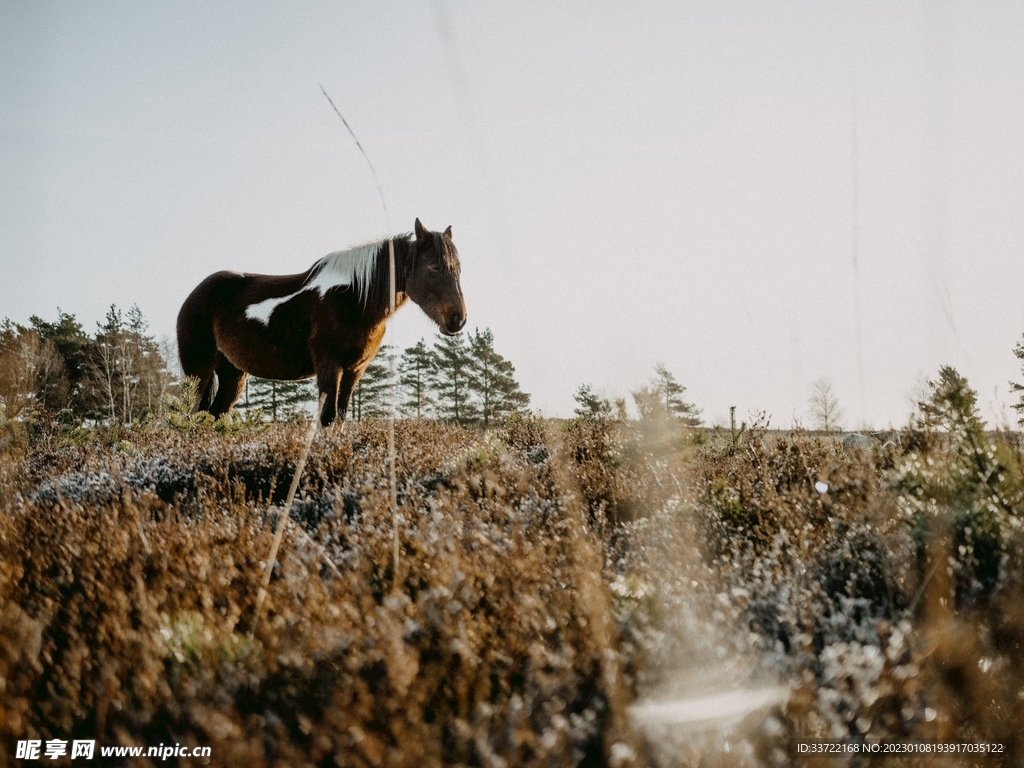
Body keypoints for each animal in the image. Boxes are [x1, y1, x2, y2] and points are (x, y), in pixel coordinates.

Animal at [176, 218, 466, 426]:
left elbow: (341, 416)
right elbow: (327, 417)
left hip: (232, 374)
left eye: (458, 269)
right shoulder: (330, 365)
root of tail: (194, 295)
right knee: (193, 414)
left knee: (214, 415)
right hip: (198, 371)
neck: (353, 297)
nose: (458, 319)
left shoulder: (354, 369)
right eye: (433, 266)